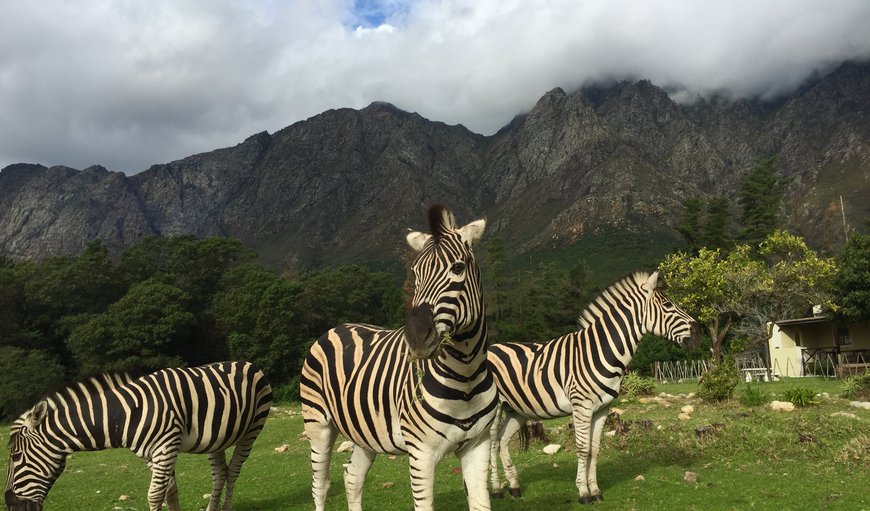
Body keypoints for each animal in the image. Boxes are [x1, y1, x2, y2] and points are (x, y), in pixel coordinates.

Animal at [4, 360, 272, 511]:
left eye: (15, 457)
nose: (9, 505)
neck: (124, 415)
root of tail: (244, 362)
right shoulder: (152, 454)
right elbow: (170, 492)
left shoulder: (166, 447)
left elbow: (155, 495)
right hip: (216, 440)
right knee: (219, 474)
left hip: (252, 429)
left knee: (234, 470)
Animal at [304, 205, 500, 511]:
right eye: (415, 272)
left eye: (458, 268)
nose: (417, 338)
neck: (465, 375)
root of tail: (338, 326)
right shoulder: (421, 453)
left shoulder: (477, 445)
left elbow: (480, 504)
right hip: (318, 424)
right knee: (320, 485)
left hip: (364, 432)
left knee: (352, 476)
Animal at [490, 272, 700, 504]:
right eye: (667, 304)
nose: (699, 332)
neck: (601, 351)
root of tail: (491, 347)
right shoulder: (581, 406)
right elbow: (583, 449)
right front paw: (583, 493)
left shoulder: (602, 409)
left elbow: (595, 448)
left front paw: (596, 491)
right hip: (493, 409)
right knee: (491, 444)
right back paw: (496, 489)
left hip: (517, 409)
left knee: (502, 440)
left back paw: (514, 486)